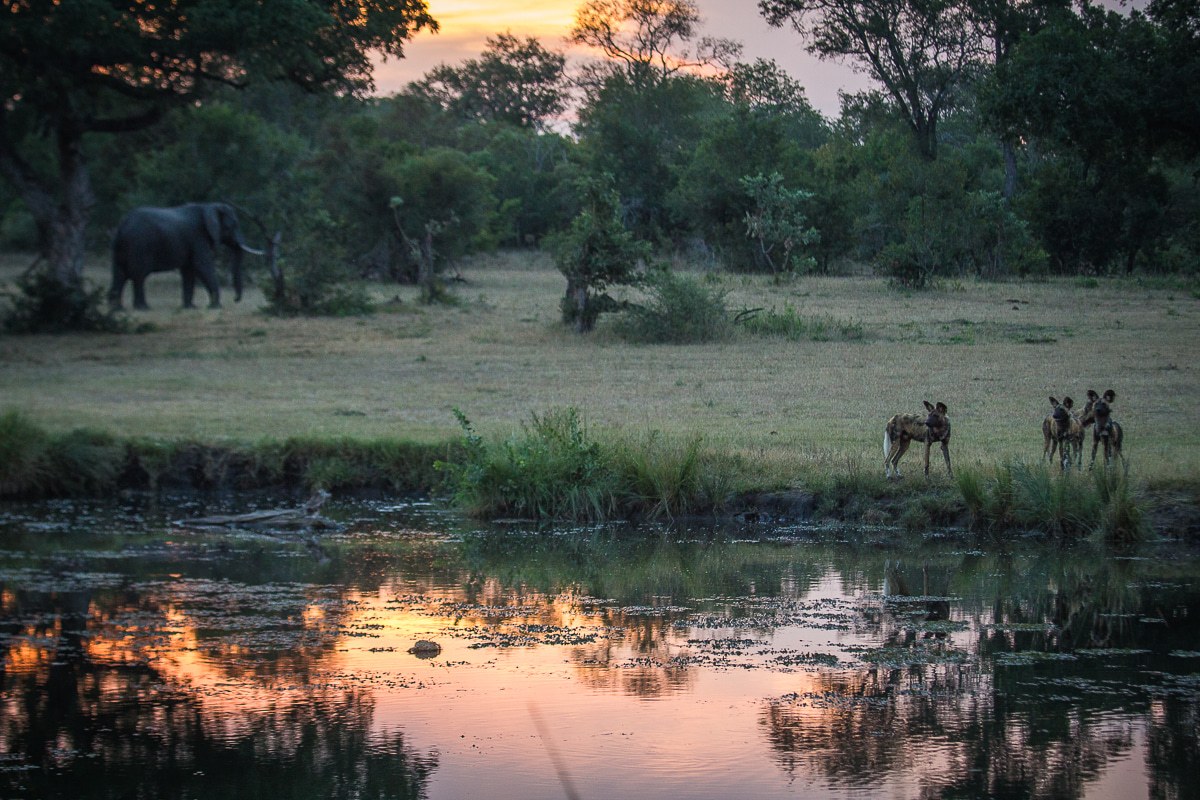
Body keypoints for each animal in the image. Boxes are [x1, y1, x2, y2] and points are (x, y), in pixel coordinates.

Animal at [109, 202, 262, 310]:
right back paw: (143, 308)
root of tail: (122, 225)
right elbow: (202, 266)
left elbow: (189, 271)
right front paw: (216, 307)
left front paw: (190, 308)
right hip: (139, 245)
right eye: (233, 225)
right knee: (139, 276)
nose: (235, 299)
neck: (209, 206)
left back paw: (117, 310)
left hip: (120, 247)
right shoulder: (198, 238)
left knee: (119, 274)